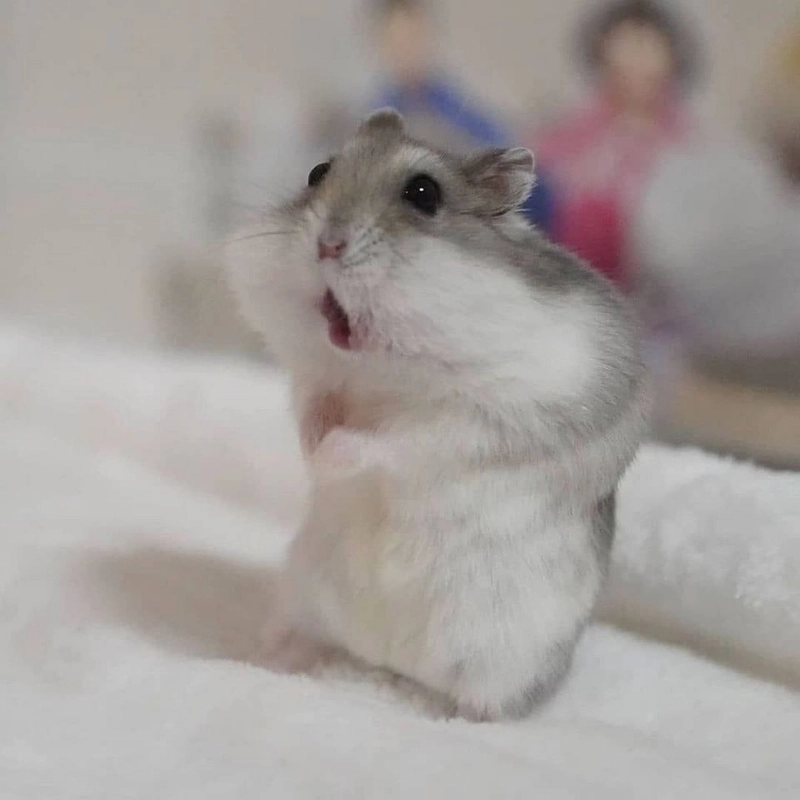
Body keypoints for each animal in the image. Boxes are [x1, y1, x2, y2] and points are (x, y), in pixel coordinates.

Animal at [227, 109, 648, 720]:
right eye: (317, 172)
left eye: (423, 193)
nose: (327, 244)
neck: (382, 370)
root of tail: (386, 658)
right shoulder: (314, 379)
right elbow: (313, 406)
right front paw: (314, 449)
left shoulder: (480, 422)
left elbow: (396, 440)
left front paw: (331, 456)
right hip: (300, 593)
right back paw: (263, 657)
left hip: (505, 658)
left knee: (478, 703)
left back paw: (440, 713)